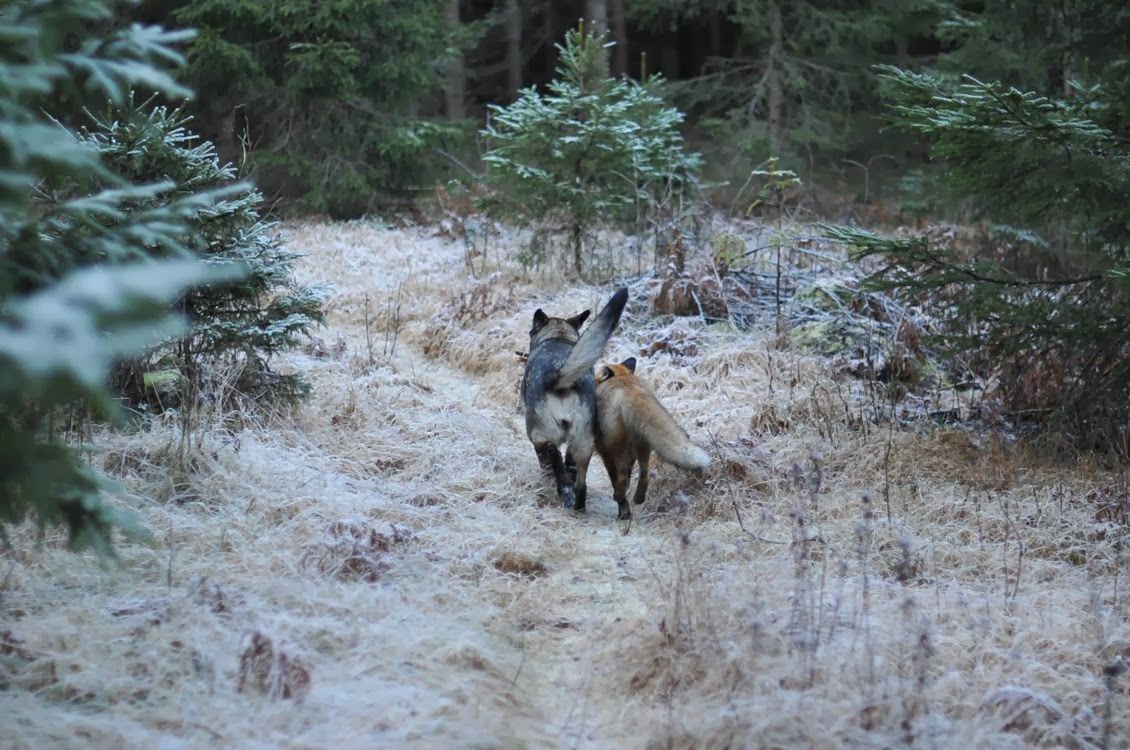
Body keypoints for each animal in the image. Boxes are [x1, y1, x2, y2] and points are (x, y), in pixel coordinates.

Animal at [520, 287, 629, 511]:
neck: (558, 337)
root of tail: (559, 378)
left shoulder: (538, 438)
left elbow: (545, 462)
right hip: (583, 440)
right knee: (578, 476)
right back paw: (577, 502)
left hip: (541, 433)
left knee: (555, 457)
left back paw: (564, 491)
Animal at [594, 357, 710, 520]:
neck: (621, 377)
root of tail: (630, 388)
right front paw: (625, 510)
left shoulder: (604, 452)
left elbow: (615, 477)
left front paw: (623, 510)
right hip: (642, 443)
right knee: (644, 472)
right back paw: (638, 497)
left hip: (614, 444)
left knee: (622, 475)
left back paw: (619, 495)